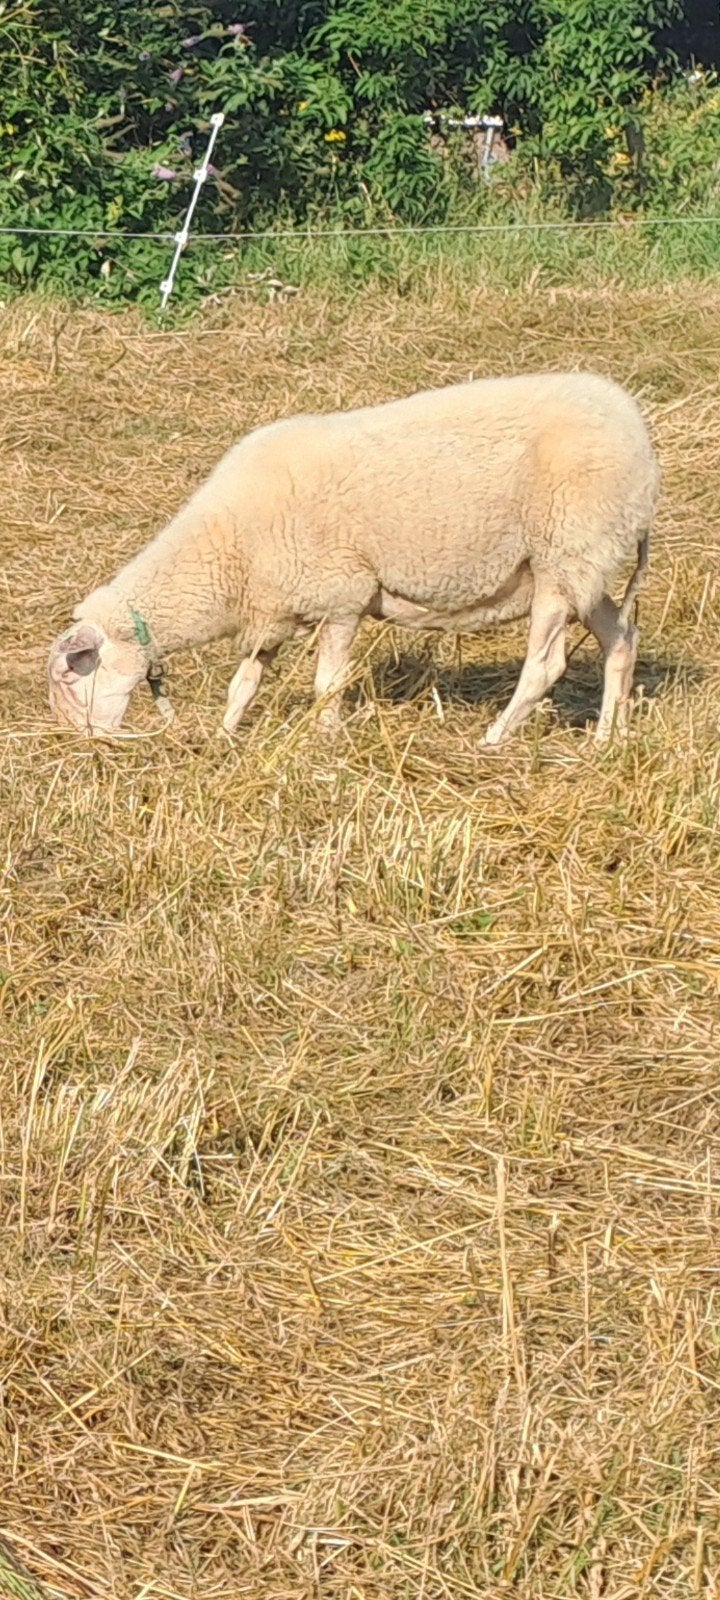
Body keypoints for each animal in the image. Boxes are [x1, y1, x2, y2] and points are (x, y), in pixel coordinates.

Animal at [48, 371, 659, 745]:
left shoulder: (339, 597)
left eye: (71, 677)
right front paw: (225, 736)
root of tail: (638, 434)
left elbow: (327, 683)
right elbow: (243, 684)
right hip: (584, 564)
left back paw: (493, 738)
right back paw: (608, 737)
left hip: (565, 549)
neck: (226, 549)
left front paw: (325, 740)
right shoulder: (277, 607)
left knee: (545, 664)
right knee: (620, 639)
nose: (83, 742)